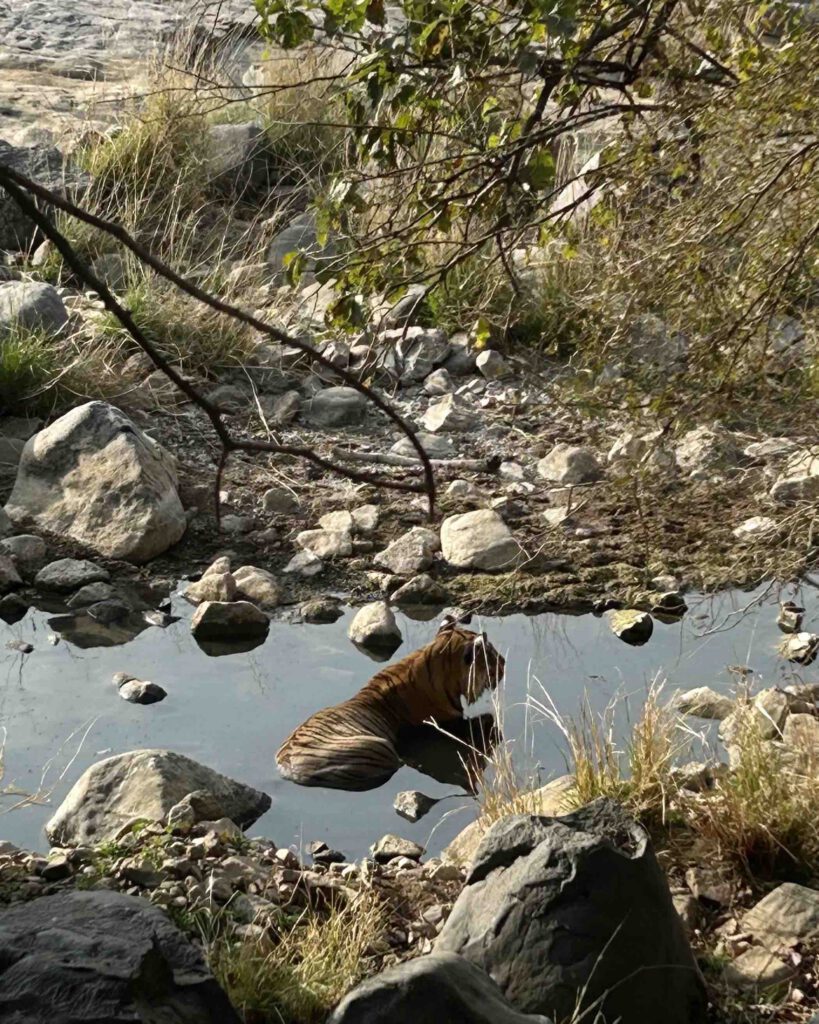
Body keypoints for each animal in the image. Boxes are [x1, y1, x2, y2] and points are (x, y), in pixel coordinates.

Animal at [276, 617, 506, 792]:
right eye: (492, 654)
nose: (504, 661)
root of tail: (290, 771)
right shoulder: (448, 723)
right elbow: (485, 721)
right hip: (379, 747)